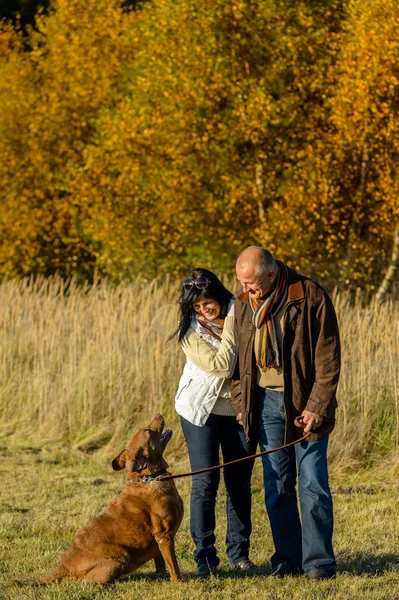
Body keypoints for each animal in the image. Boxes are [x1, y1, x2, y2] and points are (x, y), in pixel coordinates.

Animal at [39, 414, 184, 584]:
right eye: (147, 430)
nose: (158, 415)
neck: (150, 477)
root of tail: (64, 566)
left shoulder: (159, 542)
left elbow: (160, 562)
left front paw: (161, 577)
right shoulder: (164, 536)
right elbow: (173, 565)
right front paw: (179, 583)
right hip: (121, 554)